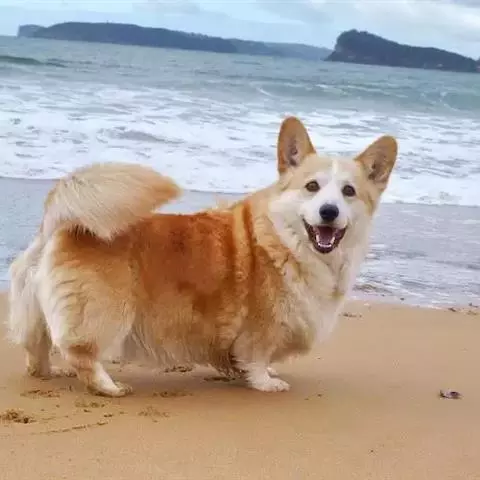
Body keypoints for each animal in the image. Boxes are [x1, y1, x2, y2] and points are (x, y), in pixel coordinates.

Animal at [7, 117, 397, 396]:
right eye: (312, 187)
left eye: (349, 192)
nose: (329, 212)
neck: (286, 241)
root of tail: (61, 225)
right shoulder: (261, 328)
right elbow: (257, 358)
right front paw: (266, 382)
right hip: (106, 313)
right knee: (82, 354)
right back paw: (110, 387)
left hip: (41, 314)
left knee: (36, 351)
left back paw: (51, 372)